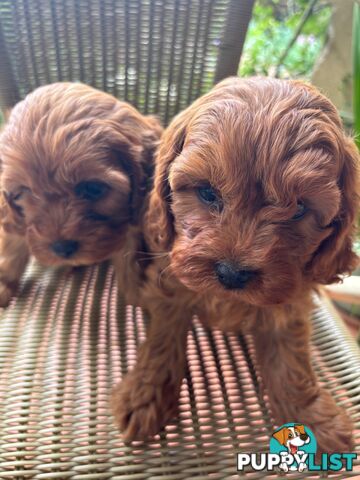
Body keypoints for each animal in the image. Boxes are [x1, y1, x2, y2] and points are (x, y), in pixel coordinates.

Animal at [0, 82, 162, 306]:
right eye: (24, 192)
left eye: (94, 189)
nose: (62, 248)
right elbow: (12, 246)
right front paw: (4, 283)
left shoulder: (130, 226)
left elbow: (129, 260)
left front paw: (137, 292)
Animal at [113, 76, 360, 454]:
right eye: (207, 193)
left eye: (300, 208)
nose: (232, 274)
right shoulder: (170, 287)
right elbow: (162, 341)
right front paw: (144, 397)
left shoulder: (290, 303)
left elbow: (291, 361)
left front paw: (313, 419)